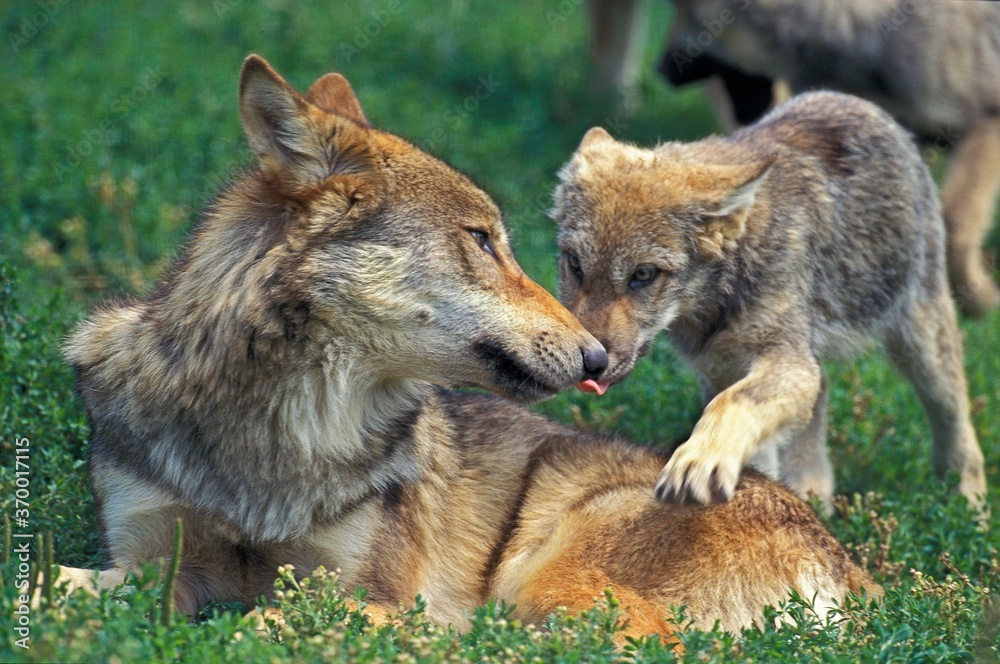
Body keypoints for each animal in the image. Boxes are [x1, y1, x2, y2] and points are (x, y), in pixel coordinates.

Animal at [58, 56, 876, 638]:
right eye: (483, 239)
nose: (598, 360)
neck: (274, 440)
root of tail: (855, 570)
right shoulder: (147, 559)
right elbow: (67, 587)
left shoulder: (362, 589)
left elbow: (269, 619)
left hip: (549, 582)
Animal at [552, 92, 987, 511]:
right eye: (574, 264)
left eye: (643, 275)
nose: (591, 364)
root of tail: (856, 102)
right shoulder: (725, 369)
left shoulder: (781, 361)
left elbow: (732, 404)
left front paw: (698, 461)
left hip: (919, 350)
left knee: (959, 425)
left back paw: (969, 507)